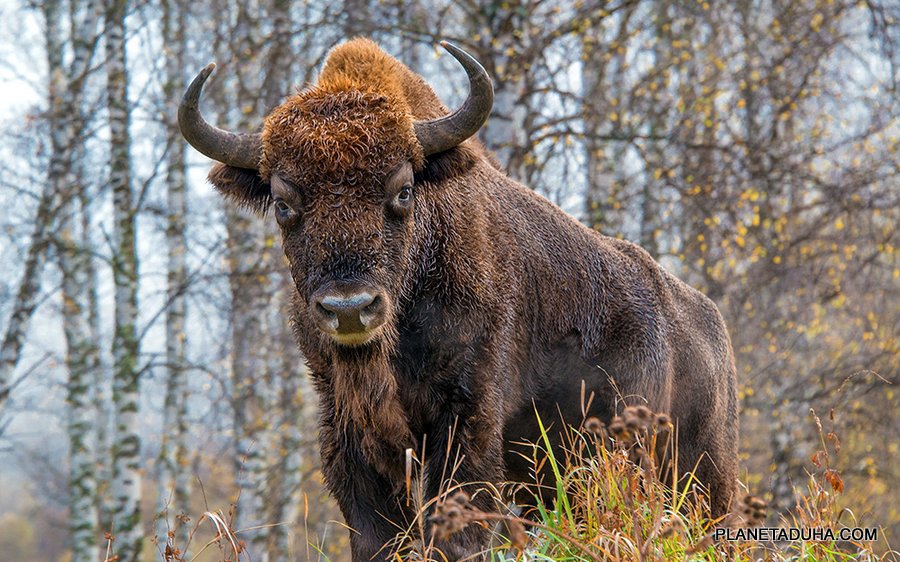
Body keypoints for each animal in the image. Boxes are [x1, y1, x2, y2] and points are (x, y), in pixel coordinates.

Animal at [178, 39, 740, 560]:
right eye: (282, 202)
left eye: (403, 190)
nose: (350, 308)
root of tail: (712, 328)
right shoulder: (347, 431)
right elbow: (378, 533)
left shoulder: (467, 419)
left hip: (696, 473)